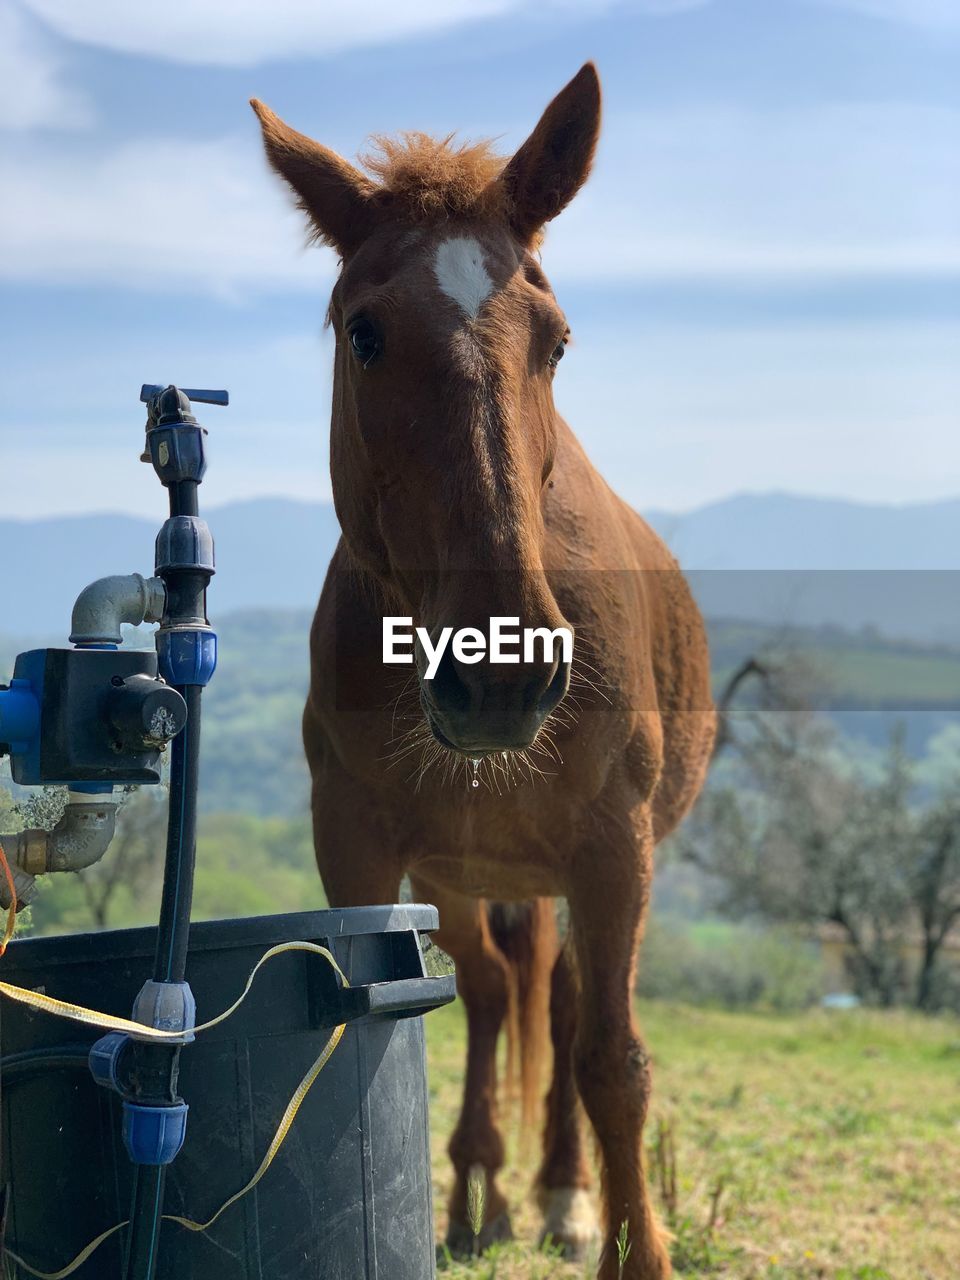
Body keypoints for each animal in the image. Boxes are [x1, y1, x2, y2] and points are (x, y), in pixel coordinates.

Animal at [252, 64, 716, 1274]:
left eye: (554, 340)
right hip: (462, 872)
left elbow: (612, 1060)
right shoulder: (358, 846)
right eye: (363, 333)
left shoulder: (613, 851)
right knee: (500, 988)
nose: (500, 673)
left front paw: (629, 1240)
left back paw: (559, 1192)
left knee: (559, 1004)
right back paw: (482, 1188)